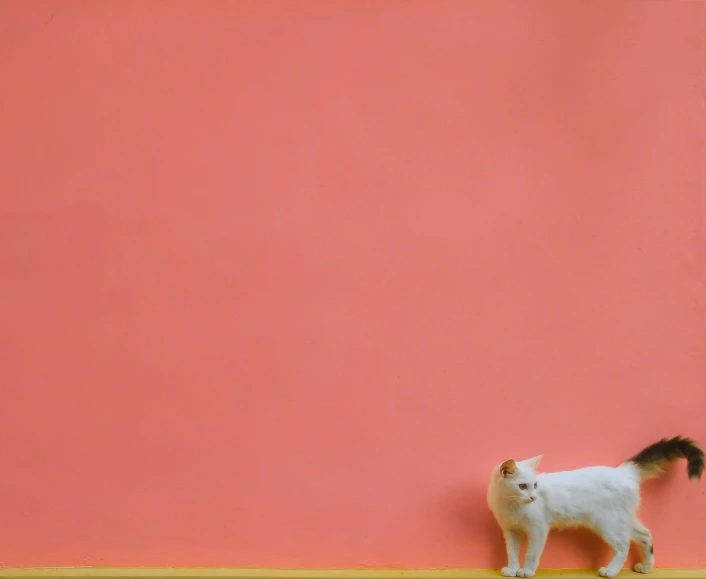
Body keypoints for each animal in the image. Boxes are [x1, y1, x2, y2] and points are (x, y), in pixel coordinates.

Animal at [486, 438, 700, 576]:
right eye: (522, 486)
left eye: (535, 485)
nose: (533, 497)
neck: (511, 504)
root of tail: (622, 472)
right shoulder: (511, 531)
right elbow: (512, 552)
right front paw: (512, 569)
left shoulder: (538, 529)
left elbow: (532, 553)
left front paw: (527, 571)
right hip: (622, 520)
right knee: (646, 535)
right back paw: (646, 567)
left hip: (607, 523)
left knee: (623, 545)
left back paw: (611, 570)